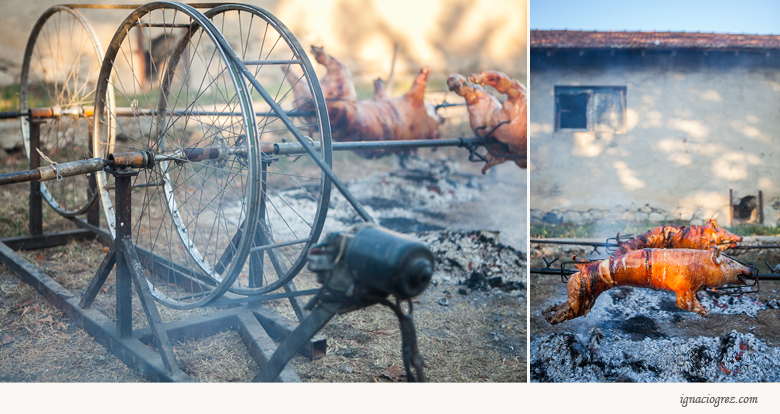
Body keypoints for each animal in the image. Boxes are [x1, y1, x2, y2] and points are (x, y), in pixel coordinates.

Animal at [280, 45, 442, 158]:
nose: (442, 117)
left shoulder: (414, 101)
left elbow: (418, 87)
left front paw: (425, 71)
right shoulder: (412, 101)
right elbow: (385, 94)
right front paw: (378, 82)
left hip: (341, 85)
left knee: (335, 66)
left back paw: (305, 58)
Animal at [544, 246, 756, 324]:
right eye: (729, 262)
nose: (750, 271)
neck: (702, 265)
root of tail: (582, 270)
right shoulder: (684, 289)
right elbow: (685, 304)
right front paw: (705, 311)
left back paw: (549, 312)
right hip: (581, 298)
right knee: (573, 309)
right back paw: (553, 317)